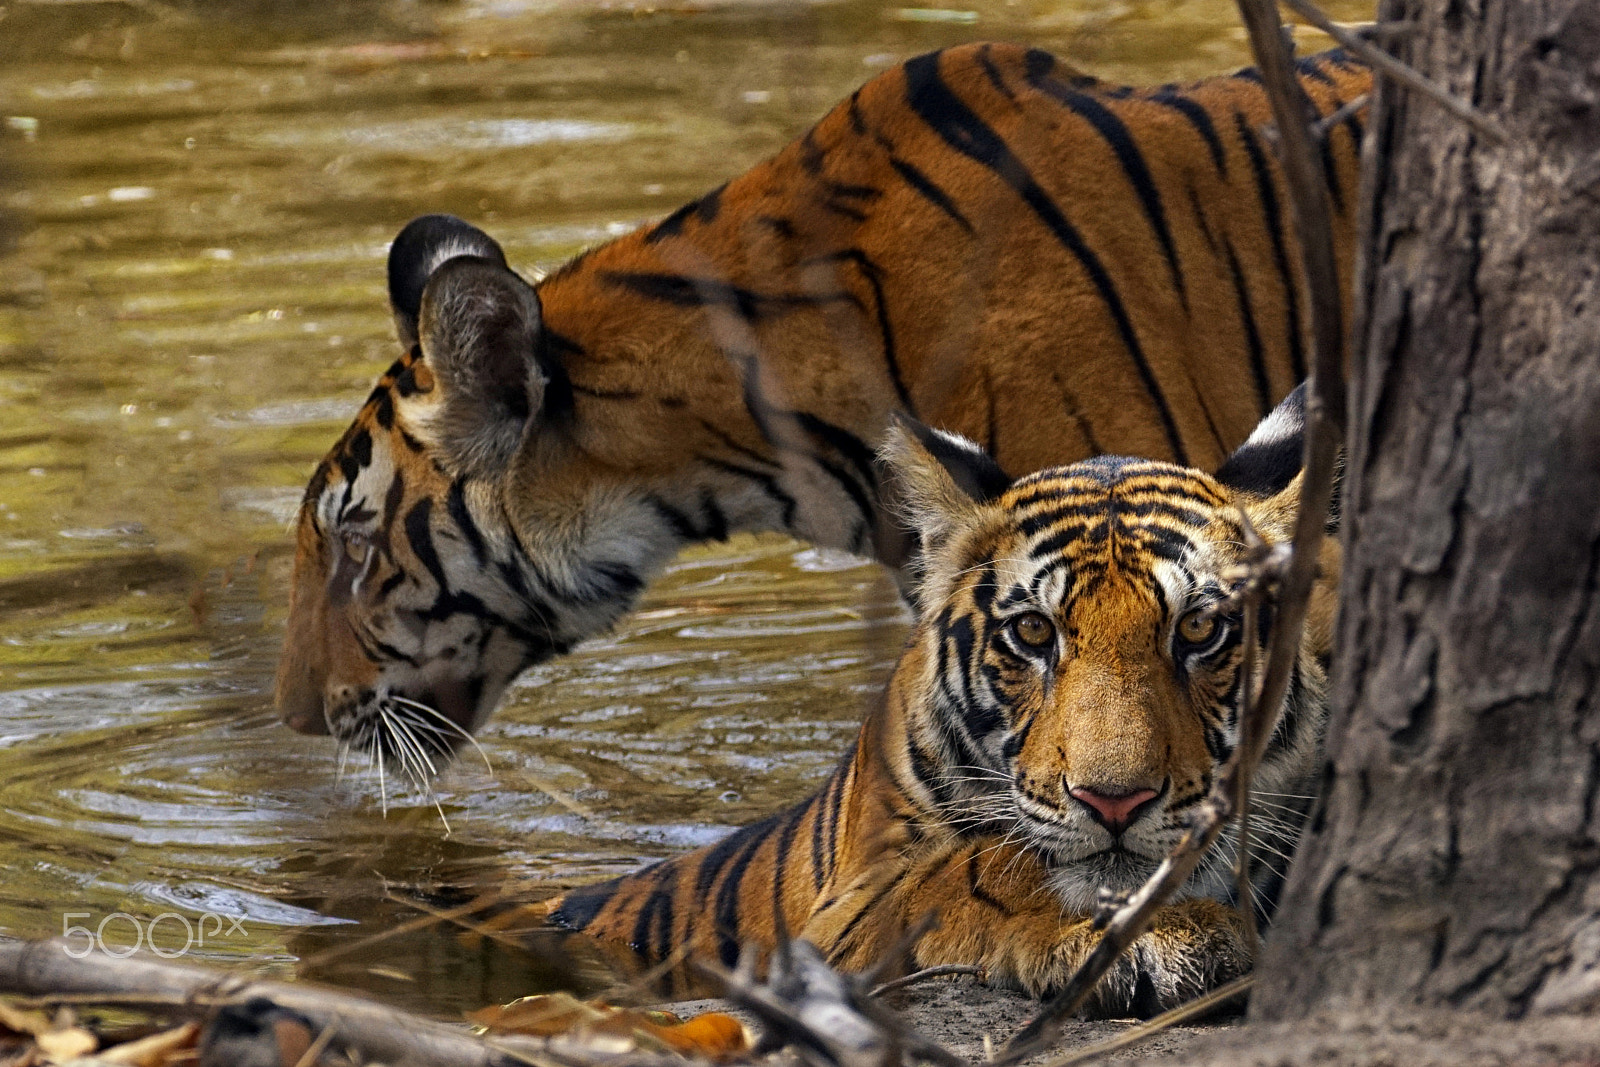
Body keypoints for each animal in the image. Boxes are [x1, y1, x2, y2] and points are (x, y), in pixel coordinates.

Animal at [544, 388, 1344, 1023]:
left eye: (1200, 629)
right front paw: (1164, 938)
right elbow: (978, 866)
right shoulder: (851, 904)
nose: (1114, 802)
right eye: (1033, 632)